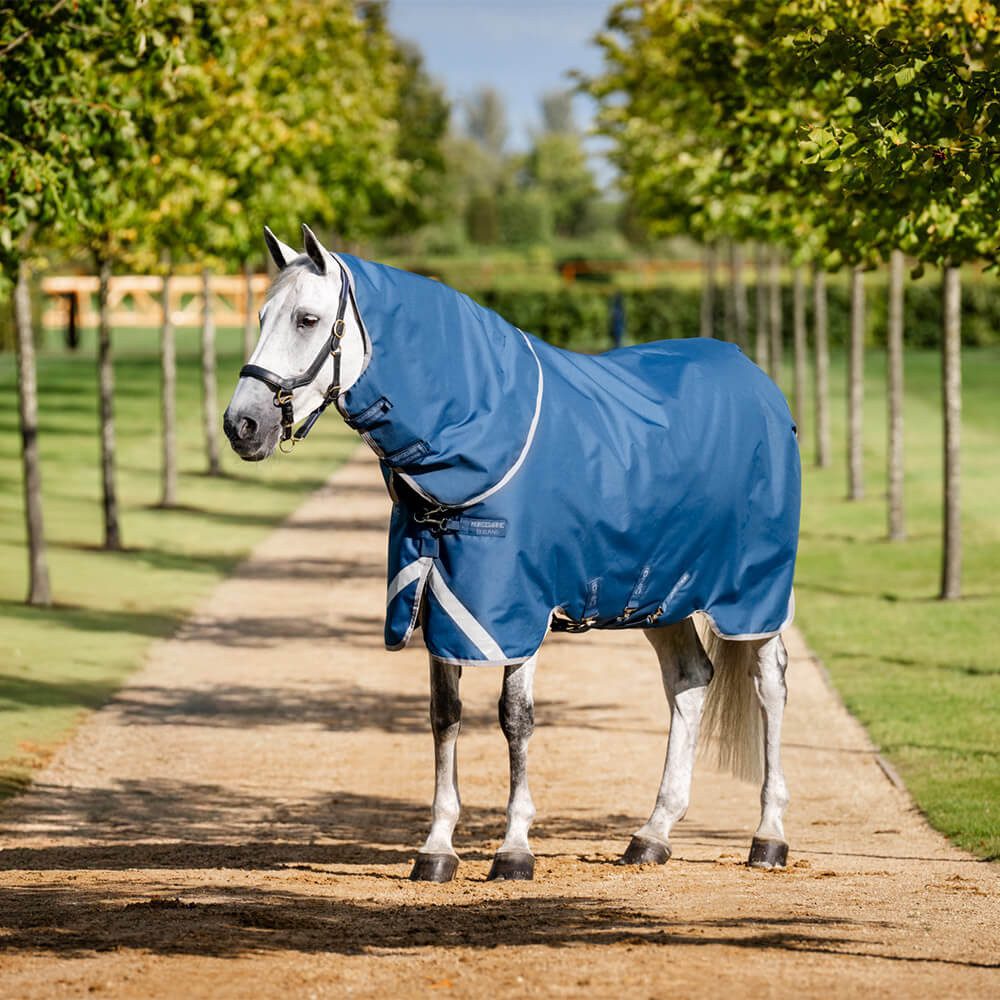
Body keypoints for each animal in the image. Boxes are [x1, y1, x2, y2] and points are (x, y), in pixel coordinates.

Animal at [223, 224, 800, 882]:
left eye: (307, 319)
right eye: (261, 315)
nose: (241, 425)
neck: (478, 435)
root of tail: (758, 380)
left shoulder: (517, 610)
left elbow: (514, 717)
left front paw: (514, 848)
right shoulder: (438, 598)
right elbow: (444, 713)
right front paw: (437, 848)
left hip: (752, 594)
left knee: (769, 684)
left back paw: (768, 836)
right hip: (660, 591)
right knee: (690, 680)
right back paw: (652, 834)